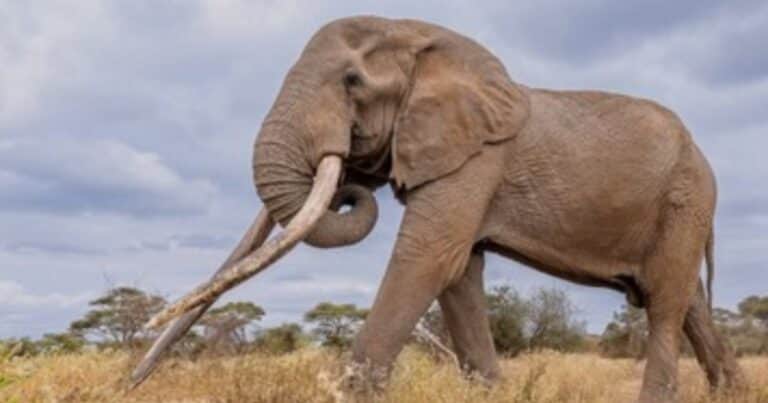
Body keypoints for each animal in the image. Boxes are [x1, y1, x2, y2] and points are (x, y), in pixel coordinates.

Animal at [132, 16, 746, 403]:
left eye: (352, 81)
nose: (128, 382)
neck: (421, 36)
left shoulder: (475, 157)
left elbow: (428, 257)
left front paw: (346, 394)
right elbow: (458, 274)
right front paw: (495, 395)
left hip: (686, 198)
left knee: (664, 302)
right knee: (689, 301)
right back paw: (732, 391)